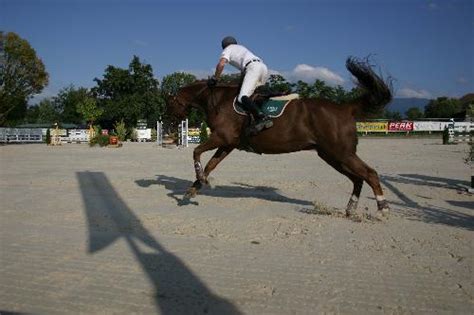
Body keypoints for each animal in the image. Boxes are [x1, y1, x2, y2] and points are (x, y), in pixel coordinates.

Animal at [169, 57, 392, 217]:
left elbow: (197, 152)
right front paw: (195, 187)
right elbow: (210, 165)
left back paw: (382, 209)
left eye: (171, 104)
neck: (217, 100)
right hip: (331, 155)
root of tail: (346, 108)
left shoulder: (222, 137)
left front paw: (198, 180)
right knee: (357, 178)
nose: (173, 124)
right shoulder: (228, 143)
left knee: (370, 173)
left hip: (341, 153)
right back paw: (350, 208)